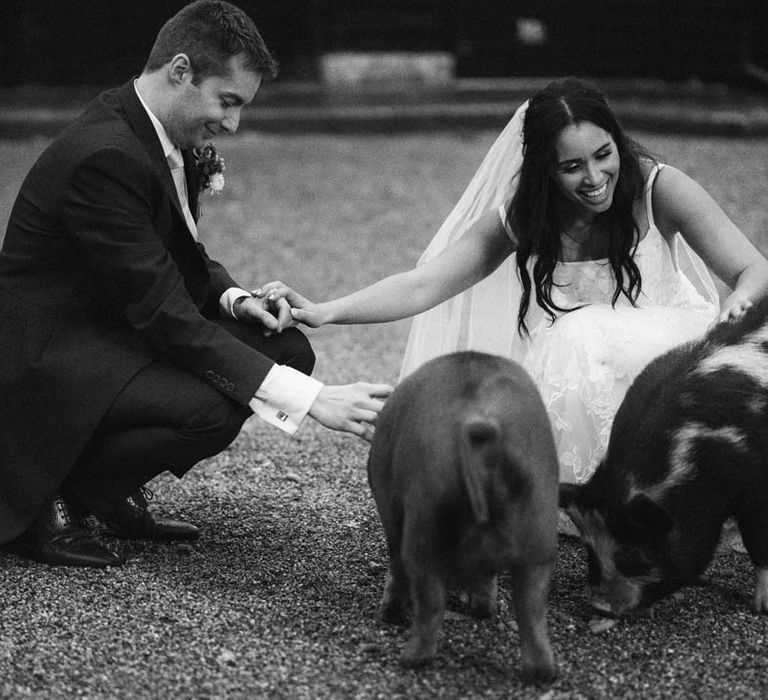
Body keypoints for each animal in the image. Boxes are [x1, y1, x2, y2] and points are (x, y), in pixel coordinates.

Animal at [368, 352, 560, 680]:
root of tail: (481, 424)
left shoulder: (393, 516)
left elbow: (396, 568)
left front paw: (389, 615)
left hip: (425, 530)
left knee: (430, 605)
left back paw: (409, 658)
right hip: (539, 538)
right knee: (532, 613)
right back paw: (539, 672)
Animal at [560, 298, 768, 616]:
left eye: (632, 553)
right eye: (588, 547)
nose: (600, 606)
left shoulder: (756, 485)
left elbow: (758, 538)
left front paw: (760, 608)